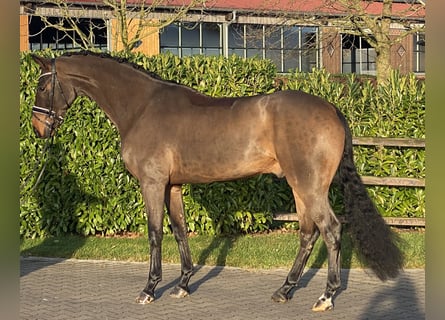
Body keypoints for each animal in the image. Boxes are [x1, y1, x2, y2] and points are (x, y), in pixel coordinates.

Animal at [29, 51, 400, 312]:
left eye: (43, 86)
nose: (38, 128)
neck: (142, 107)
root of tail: (332, 110)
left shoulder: (152, 183)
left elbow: (154, 233)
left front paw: (149, 290)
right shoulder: (172, 186)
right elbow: (179, 230)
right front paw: (182, 284)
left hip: (309, 186)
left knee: (331, 230)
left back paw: (325, 297)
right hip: (300, 187)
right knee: (308, 233)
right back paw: (285, 290)